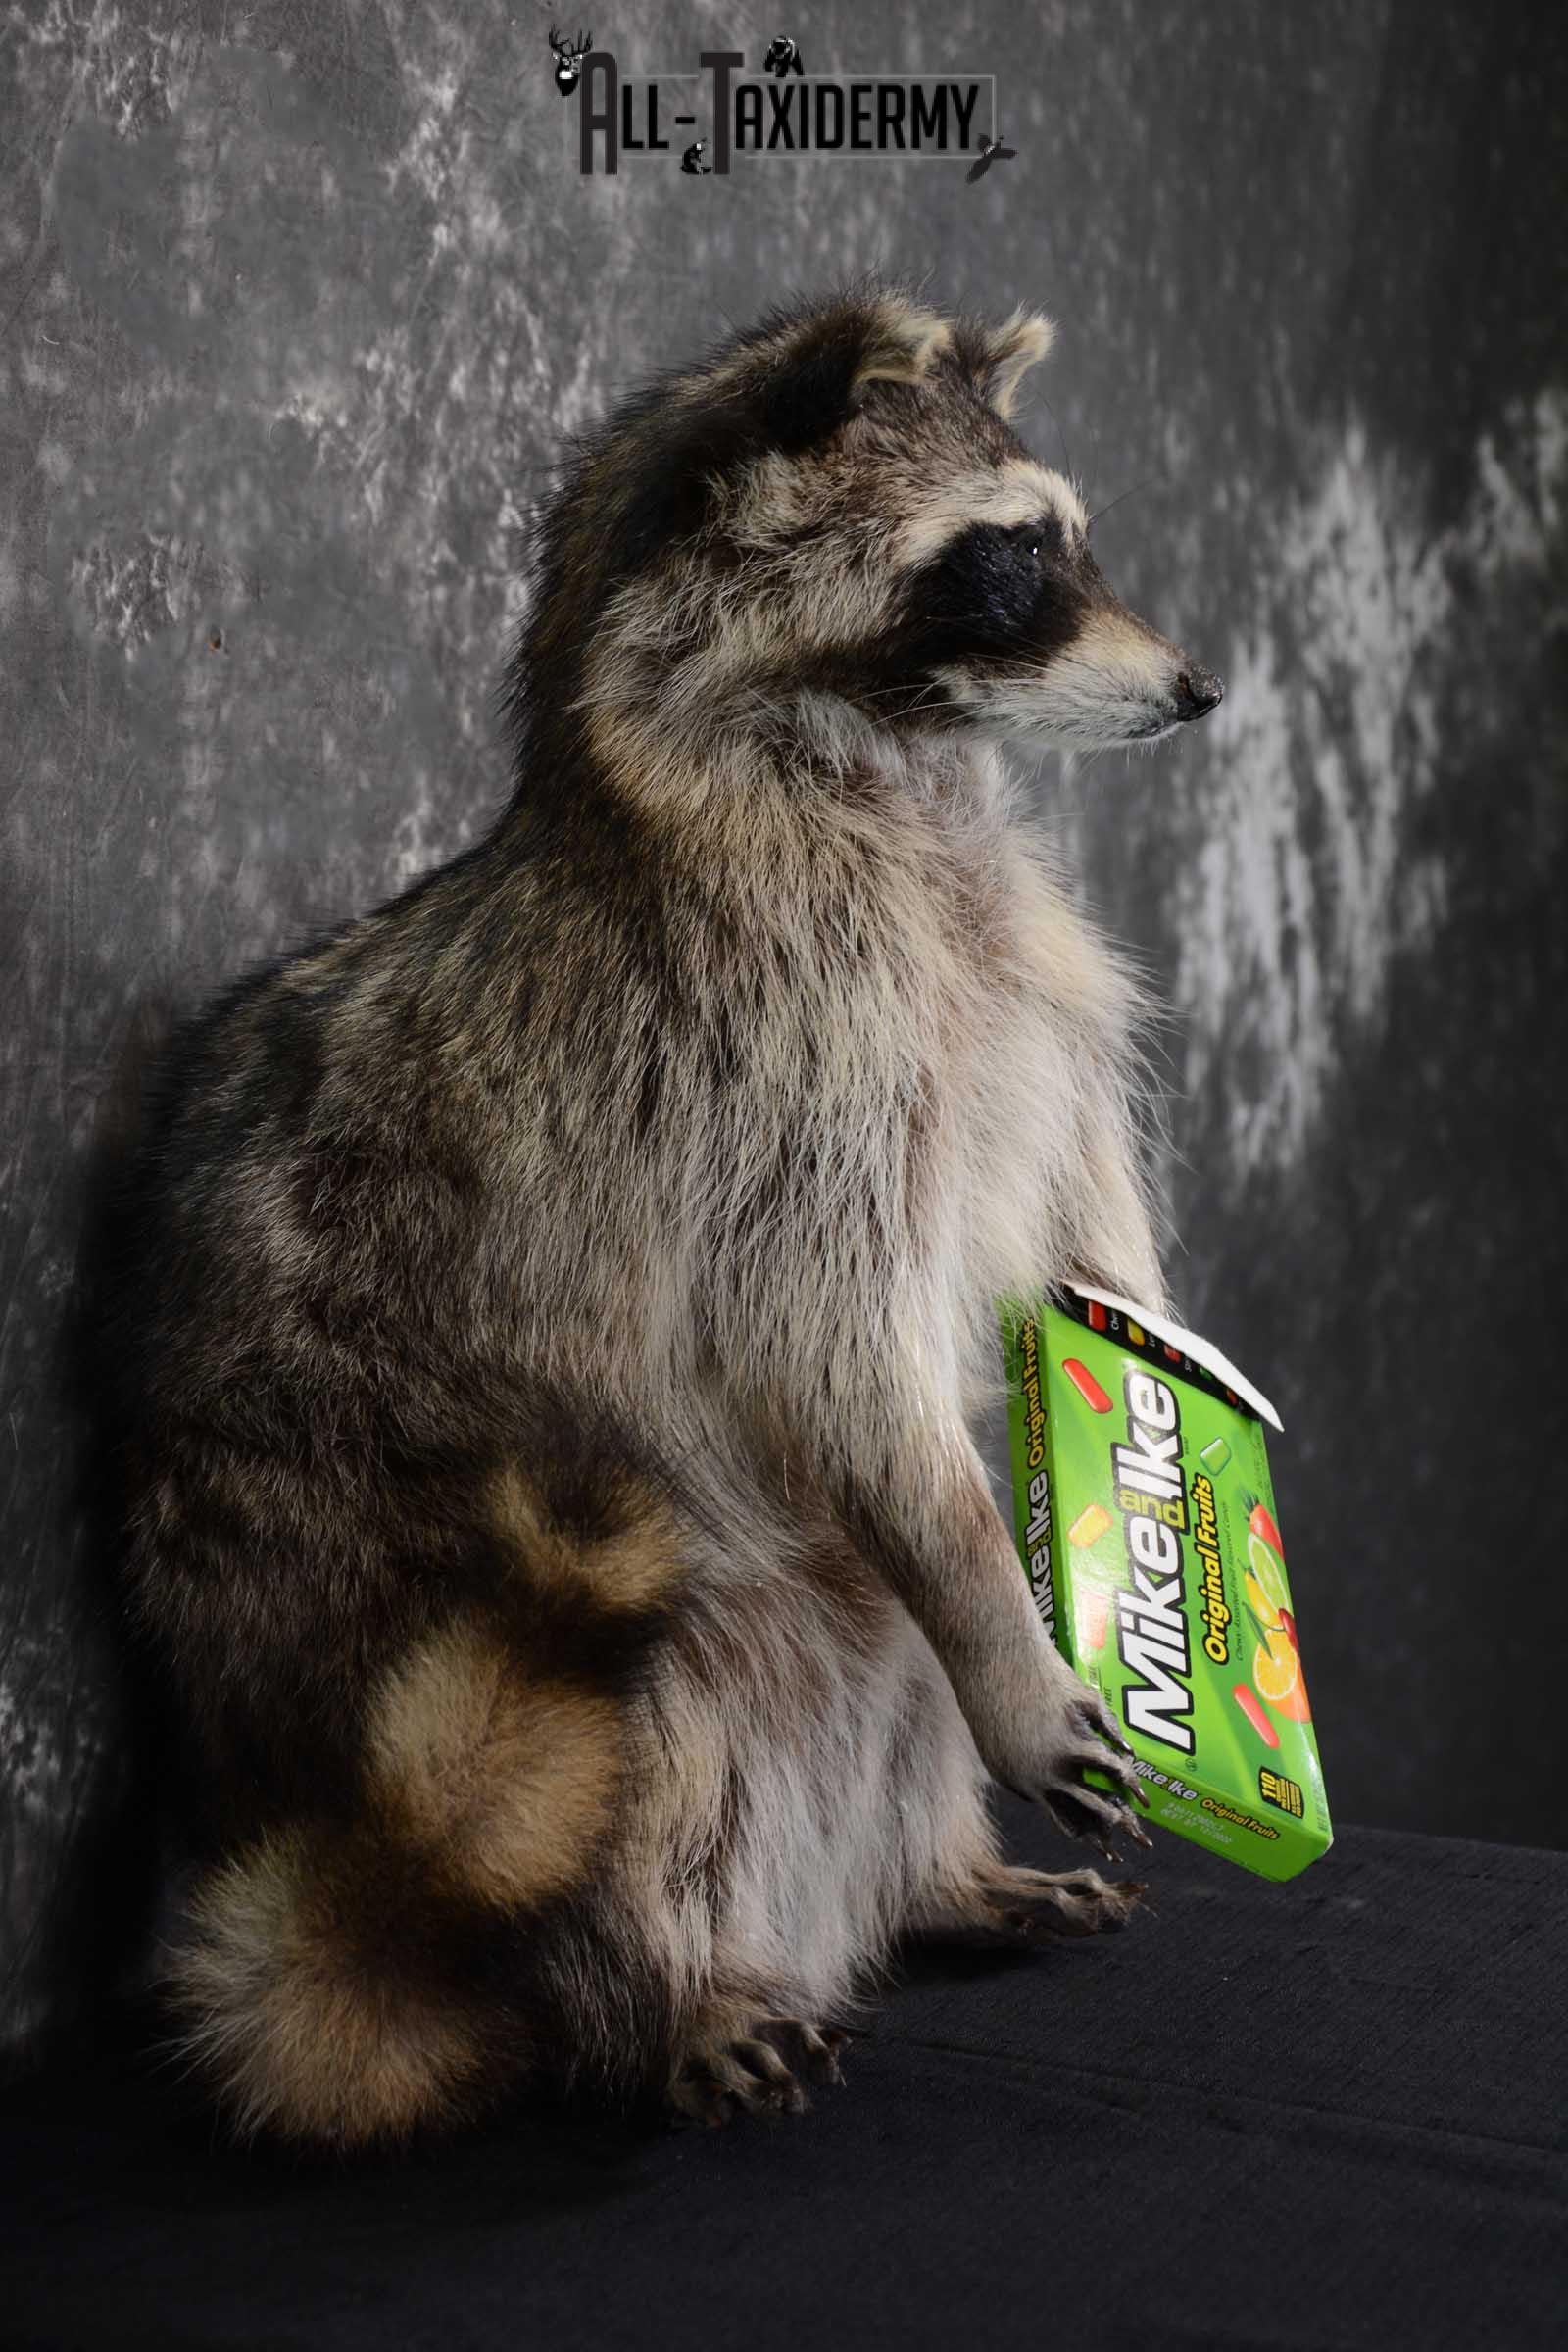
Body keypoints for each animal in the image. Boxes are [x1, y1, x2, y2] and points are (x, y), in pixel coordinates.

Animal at [109, 281, 1223, 2149]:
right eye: (1009, 562)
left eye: (1071, 539)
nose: (1202, 688)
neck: (902, 768)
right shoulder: (768, 1054)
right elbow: (833, 1355)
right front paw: (1016, 1643)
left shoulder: (1026, 990)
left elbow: (1084, 1233)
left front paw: (1160, 1409)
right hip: (492, 1614)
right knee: (640, 1753)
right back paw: (660, 1988)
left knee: (882, 1670)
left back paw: (929, 1872)